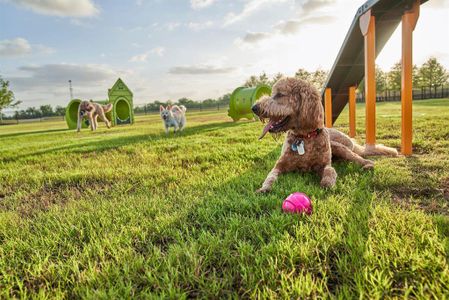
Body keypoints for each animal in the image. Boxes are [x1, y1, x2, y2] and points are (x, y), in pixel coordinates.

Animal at [252, 77, 396, 193]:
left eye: (280, 94)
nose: (254, 107)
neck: (304, 138)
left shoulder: (323, 164)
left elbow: (330, 171)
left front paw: (327, 183)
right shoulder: (279, 165)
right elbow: (270, 176)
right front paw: (264, 188)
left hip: (342, 149)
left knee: (360, 158)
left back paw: (368, 165)